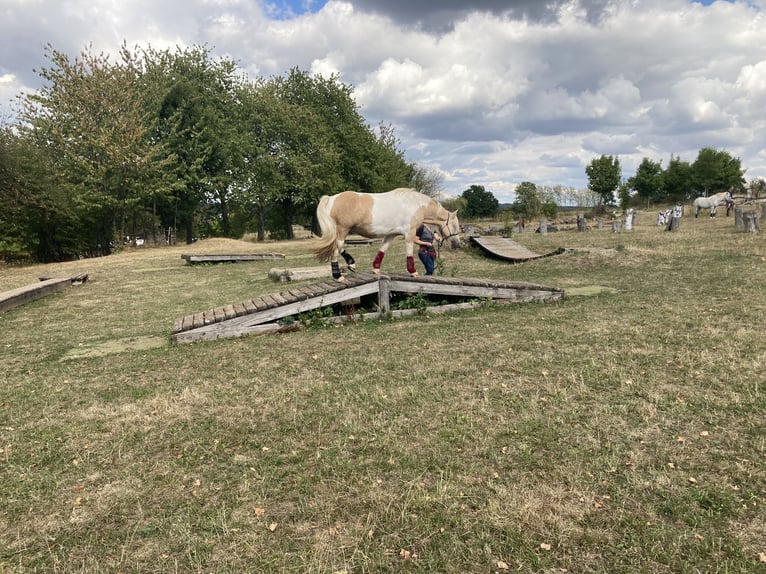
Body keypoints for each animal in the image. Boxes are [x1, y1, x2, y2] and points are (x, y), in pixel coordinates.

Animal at [314, 188, 461, 280]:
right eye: (455, 225)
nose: (457, 244)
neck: (416, 205)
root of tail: (330, 199)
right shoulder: (409, 233)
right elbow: (409, 253)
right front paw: (413, 272)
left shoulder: (391, 235)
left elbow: (382, 250)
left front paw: (376, 269)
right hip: (342, 231)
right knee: (334, 250)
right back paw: (338, 276)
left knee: (335, 247)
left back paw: (351, 263)